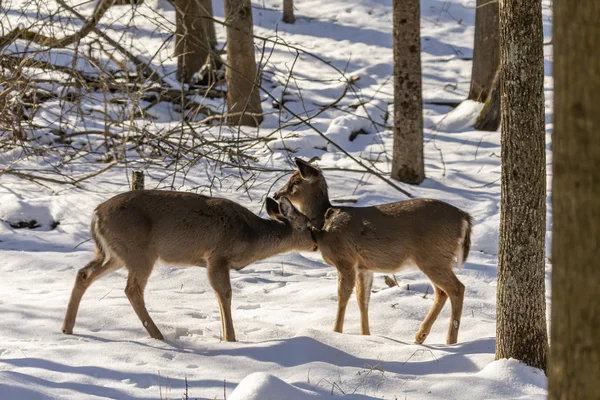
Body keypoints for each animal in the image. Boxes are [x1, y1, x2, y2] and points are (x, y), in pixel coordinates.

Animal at [62, 191, 318, 340]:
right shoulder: (217, 255)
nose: (317, 244)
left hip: (113, 253)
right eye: (308, 226)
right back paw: (157, 334)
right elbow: (224, 294)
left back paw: (67, 328)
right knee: (132, 289)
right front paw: (230, 338)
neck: (251, 236)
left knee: (84, 273)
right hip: (139, 253)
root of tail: (95, 215)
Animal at [274, 159, 474, 344]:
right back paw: (420, 336)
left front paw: (336, 333)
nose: (276, 194)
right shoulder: (364, 267)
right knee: (441, 292)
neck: (323, 226)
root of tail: (465, 218)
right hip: (434, 259)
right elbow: (363, 299)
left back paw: (450, 340)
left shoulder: (344, 259)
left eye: (295, 181)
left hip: (434, 257)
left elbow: (342, 296)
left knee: (457, 288)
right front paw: (366, 335)